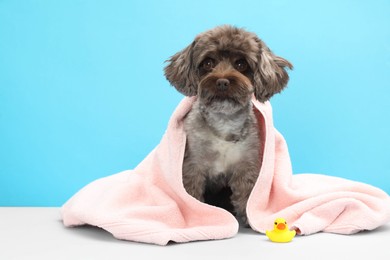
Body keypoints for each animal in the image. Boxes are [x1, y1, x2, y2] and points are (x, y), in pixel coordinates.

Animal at [163, 24, 290, 223]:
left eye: (241, 64)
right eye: (208, 63)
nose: (222, 82)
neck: (224, 121)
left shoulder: (246, 167)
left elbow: (247, 196)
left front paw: (250, 218)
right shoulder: (192, 167)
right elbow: (191, 196)